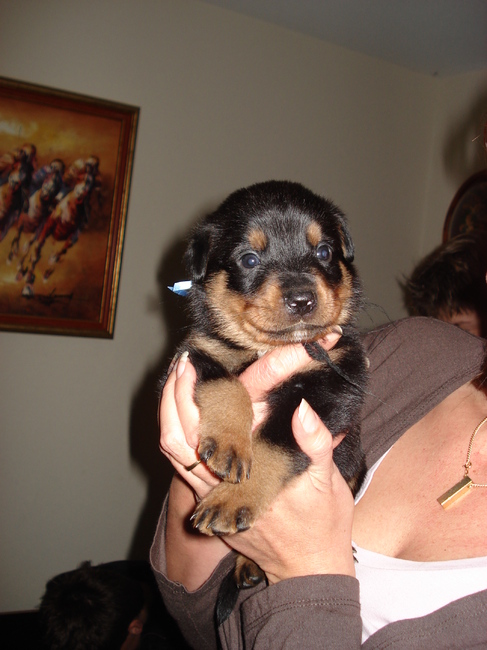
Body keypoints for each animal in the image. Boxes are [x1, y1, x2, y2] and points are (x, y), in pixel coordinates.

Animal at [165, 180, 368, 604]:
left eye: (324, 252)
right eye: (249, 259)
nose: (302, 299)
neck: (270, 348)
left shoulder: (332, 386)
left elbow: (275, 444)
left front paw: (232, 497)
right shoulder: (200, 352)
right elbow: (228, 386)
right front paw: (230, 444)